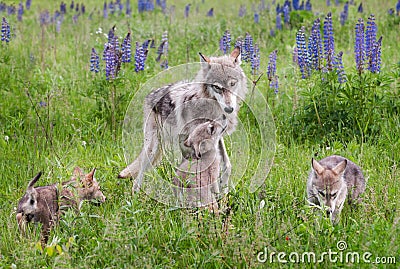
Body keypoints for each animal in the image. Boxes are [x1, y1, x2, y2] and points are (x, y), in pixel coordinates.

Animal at [117, 47, 248, 194]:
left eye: (232, 84)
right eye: (217, 87)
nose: (229, 109)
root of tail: (151, 94)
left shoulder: (217, 138)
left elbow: (226, 165)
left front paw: (224, 192)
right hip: (152, 147)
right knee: (138, 176)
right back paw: (136, 195)